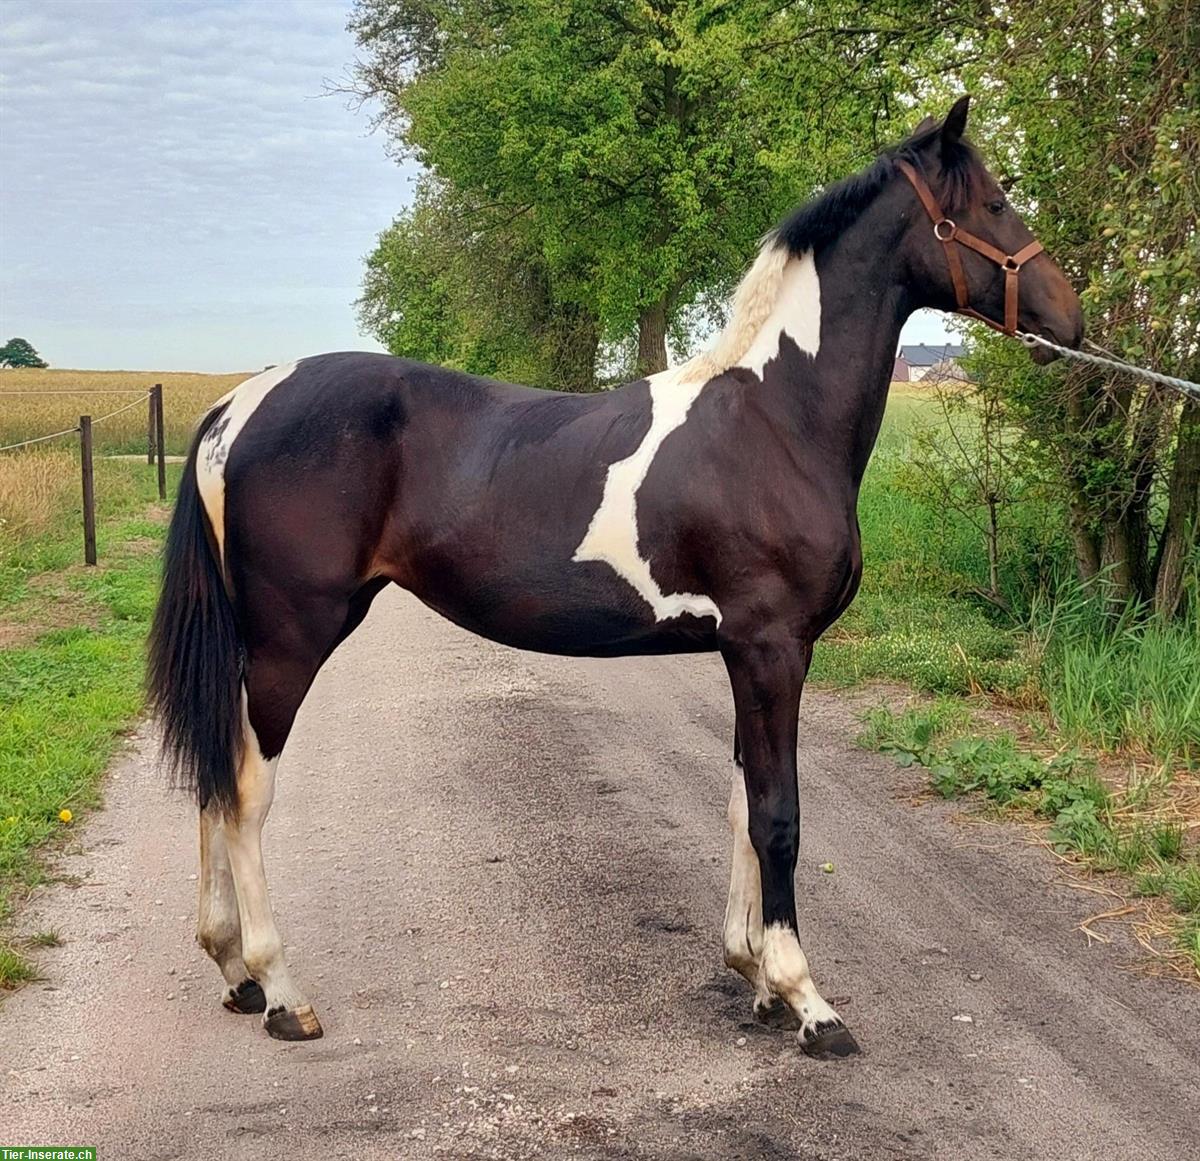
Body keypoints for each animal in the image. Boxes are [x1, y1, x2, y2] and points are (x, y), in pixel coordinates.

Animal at [147, 95, 1080, 1055]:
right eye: (996, 203)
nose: (1070, 318)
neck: (776, 419)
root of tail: (235, 406)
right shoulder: (773, 647)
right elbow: (779, 817)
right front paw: (807, 999)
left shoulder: (750, 654)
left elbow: (743, 803)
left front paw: (753, 976)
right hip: (290, 640)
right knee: (246, 792)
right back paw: (281, 989)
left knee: (215, 778)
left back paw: (233, 970)